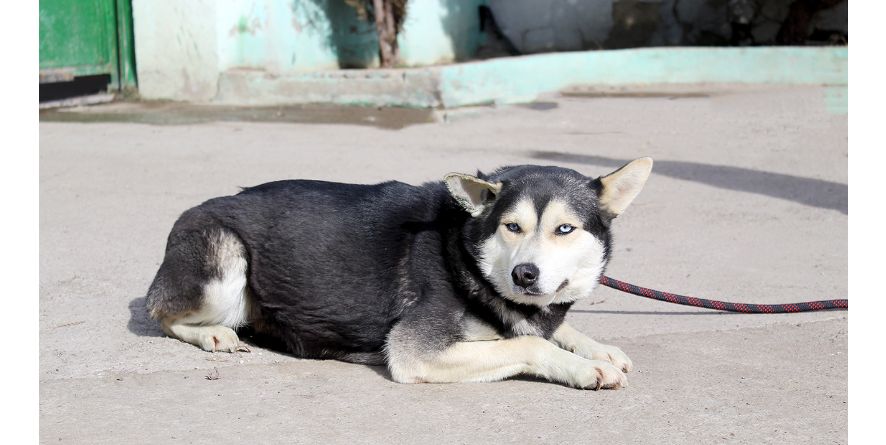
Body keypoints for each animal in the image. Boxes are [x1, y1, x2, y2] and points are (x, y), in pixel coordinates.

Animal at [146, 158, 656, 386]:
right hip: (224, 267)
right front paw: (586, 366)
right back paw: (212, 333)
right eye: (512, 227)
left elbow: (551, 327)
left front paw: (597, 347)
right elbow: (528, 342)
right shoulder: (414, 350)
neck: (463, 249)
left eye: (564, 229)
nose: (525, 275)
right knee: (161, 314)